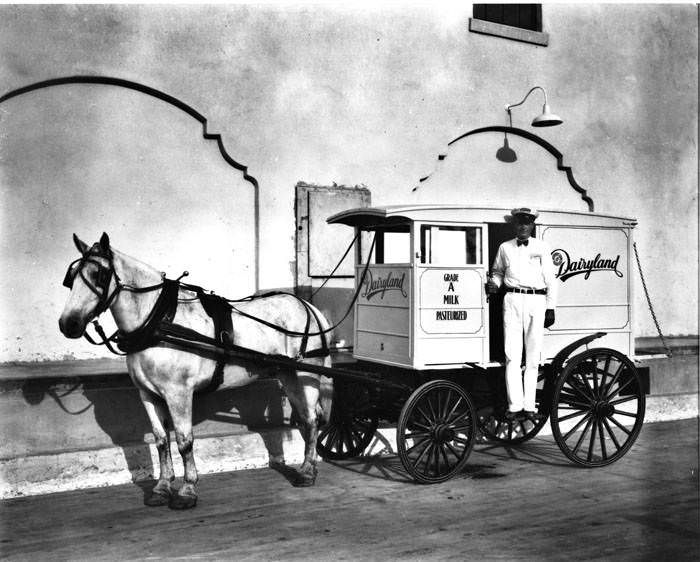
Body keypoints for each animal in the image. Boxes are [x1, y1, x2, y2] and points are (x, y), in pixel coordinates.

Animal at [59, 232, 334, 508]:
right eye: (71, 277)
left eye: (99, 274)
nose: (67, 324)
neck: (159, 320)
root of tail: (310, 308)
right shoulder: (147, 394)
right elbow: (161, 440)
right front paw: (162, 487)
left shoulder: (178, 393)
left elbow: (184, 441)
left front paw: (187, 489)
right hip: (288, 376)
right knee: (307, 417)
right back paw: (310, 465)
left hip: (305, 376)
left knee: (311, 419)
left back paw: (307, 471)